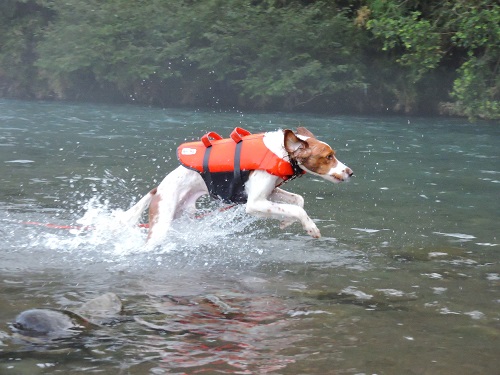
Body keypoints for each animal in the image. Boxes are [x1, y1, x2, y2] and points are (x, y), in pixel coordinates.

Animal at [120, 126, 352, 247]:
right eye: (328, 157)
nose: (350, 172)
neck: (282, 152)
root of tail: (158, 189)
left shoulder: (270, 192)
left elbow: (297, 201)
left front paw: (286, 221)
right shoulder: (255, 202)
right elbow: (298, 209)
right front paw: (310, 227)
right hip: (160, 224)